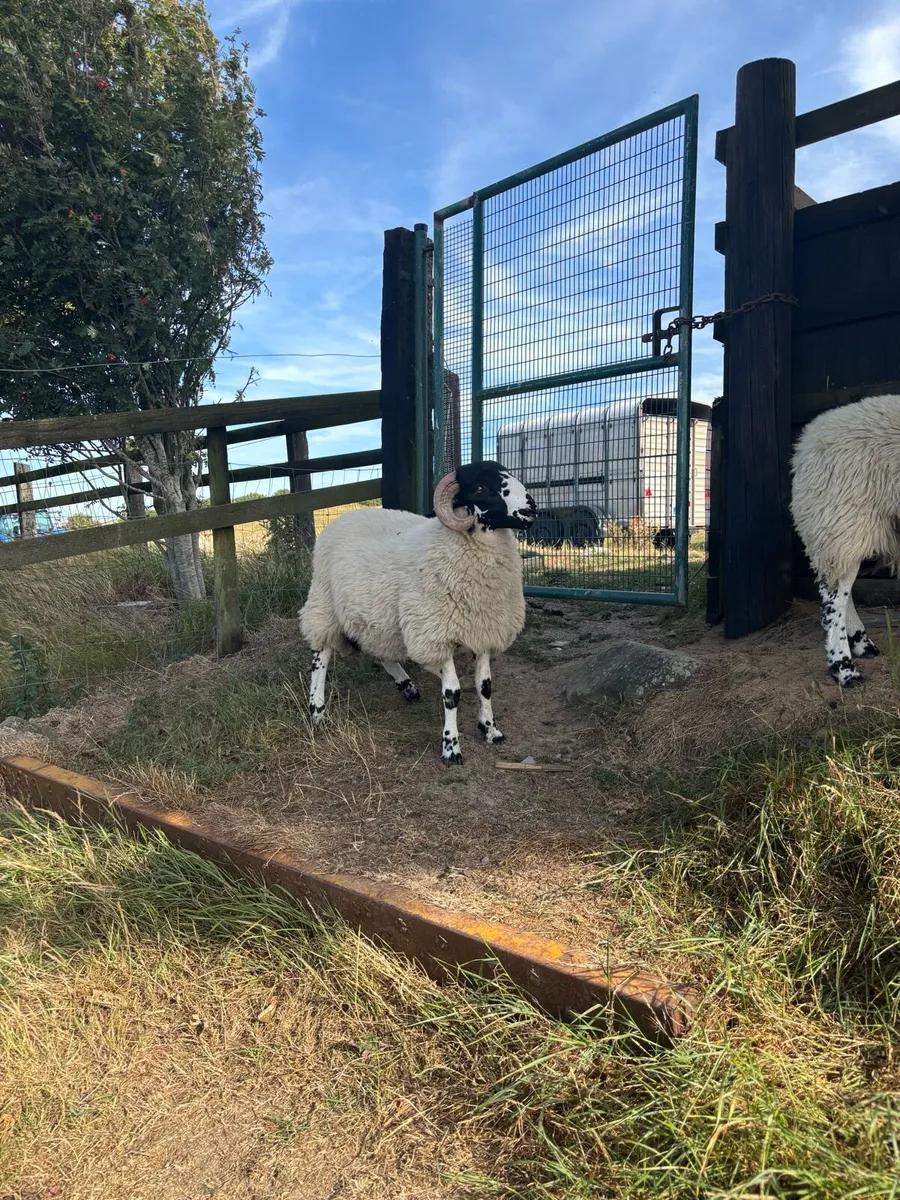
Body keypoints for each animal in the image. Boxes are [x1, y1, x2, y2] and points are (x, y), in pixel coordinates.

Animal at [299, 461, 537, 765]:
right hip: (325, 605)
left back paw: (407, 687)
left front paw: (491, 730)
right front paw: (451, 748)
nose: (531, 509)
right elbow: (452, 694)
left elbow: (484, 685)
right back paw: (317, 710)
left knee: (379, 651)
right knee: (321, 656)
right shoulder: (434, 636)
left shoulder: (483, 629)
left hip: (376, 615)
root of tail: (344, 516)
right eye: (480, 488)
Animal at [790, 392, 900, 687]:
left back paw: (861, 644)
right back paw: (844, 667)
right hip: (840, 521)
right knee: (834, 596)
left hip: (843, 531)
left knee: (841, 588)